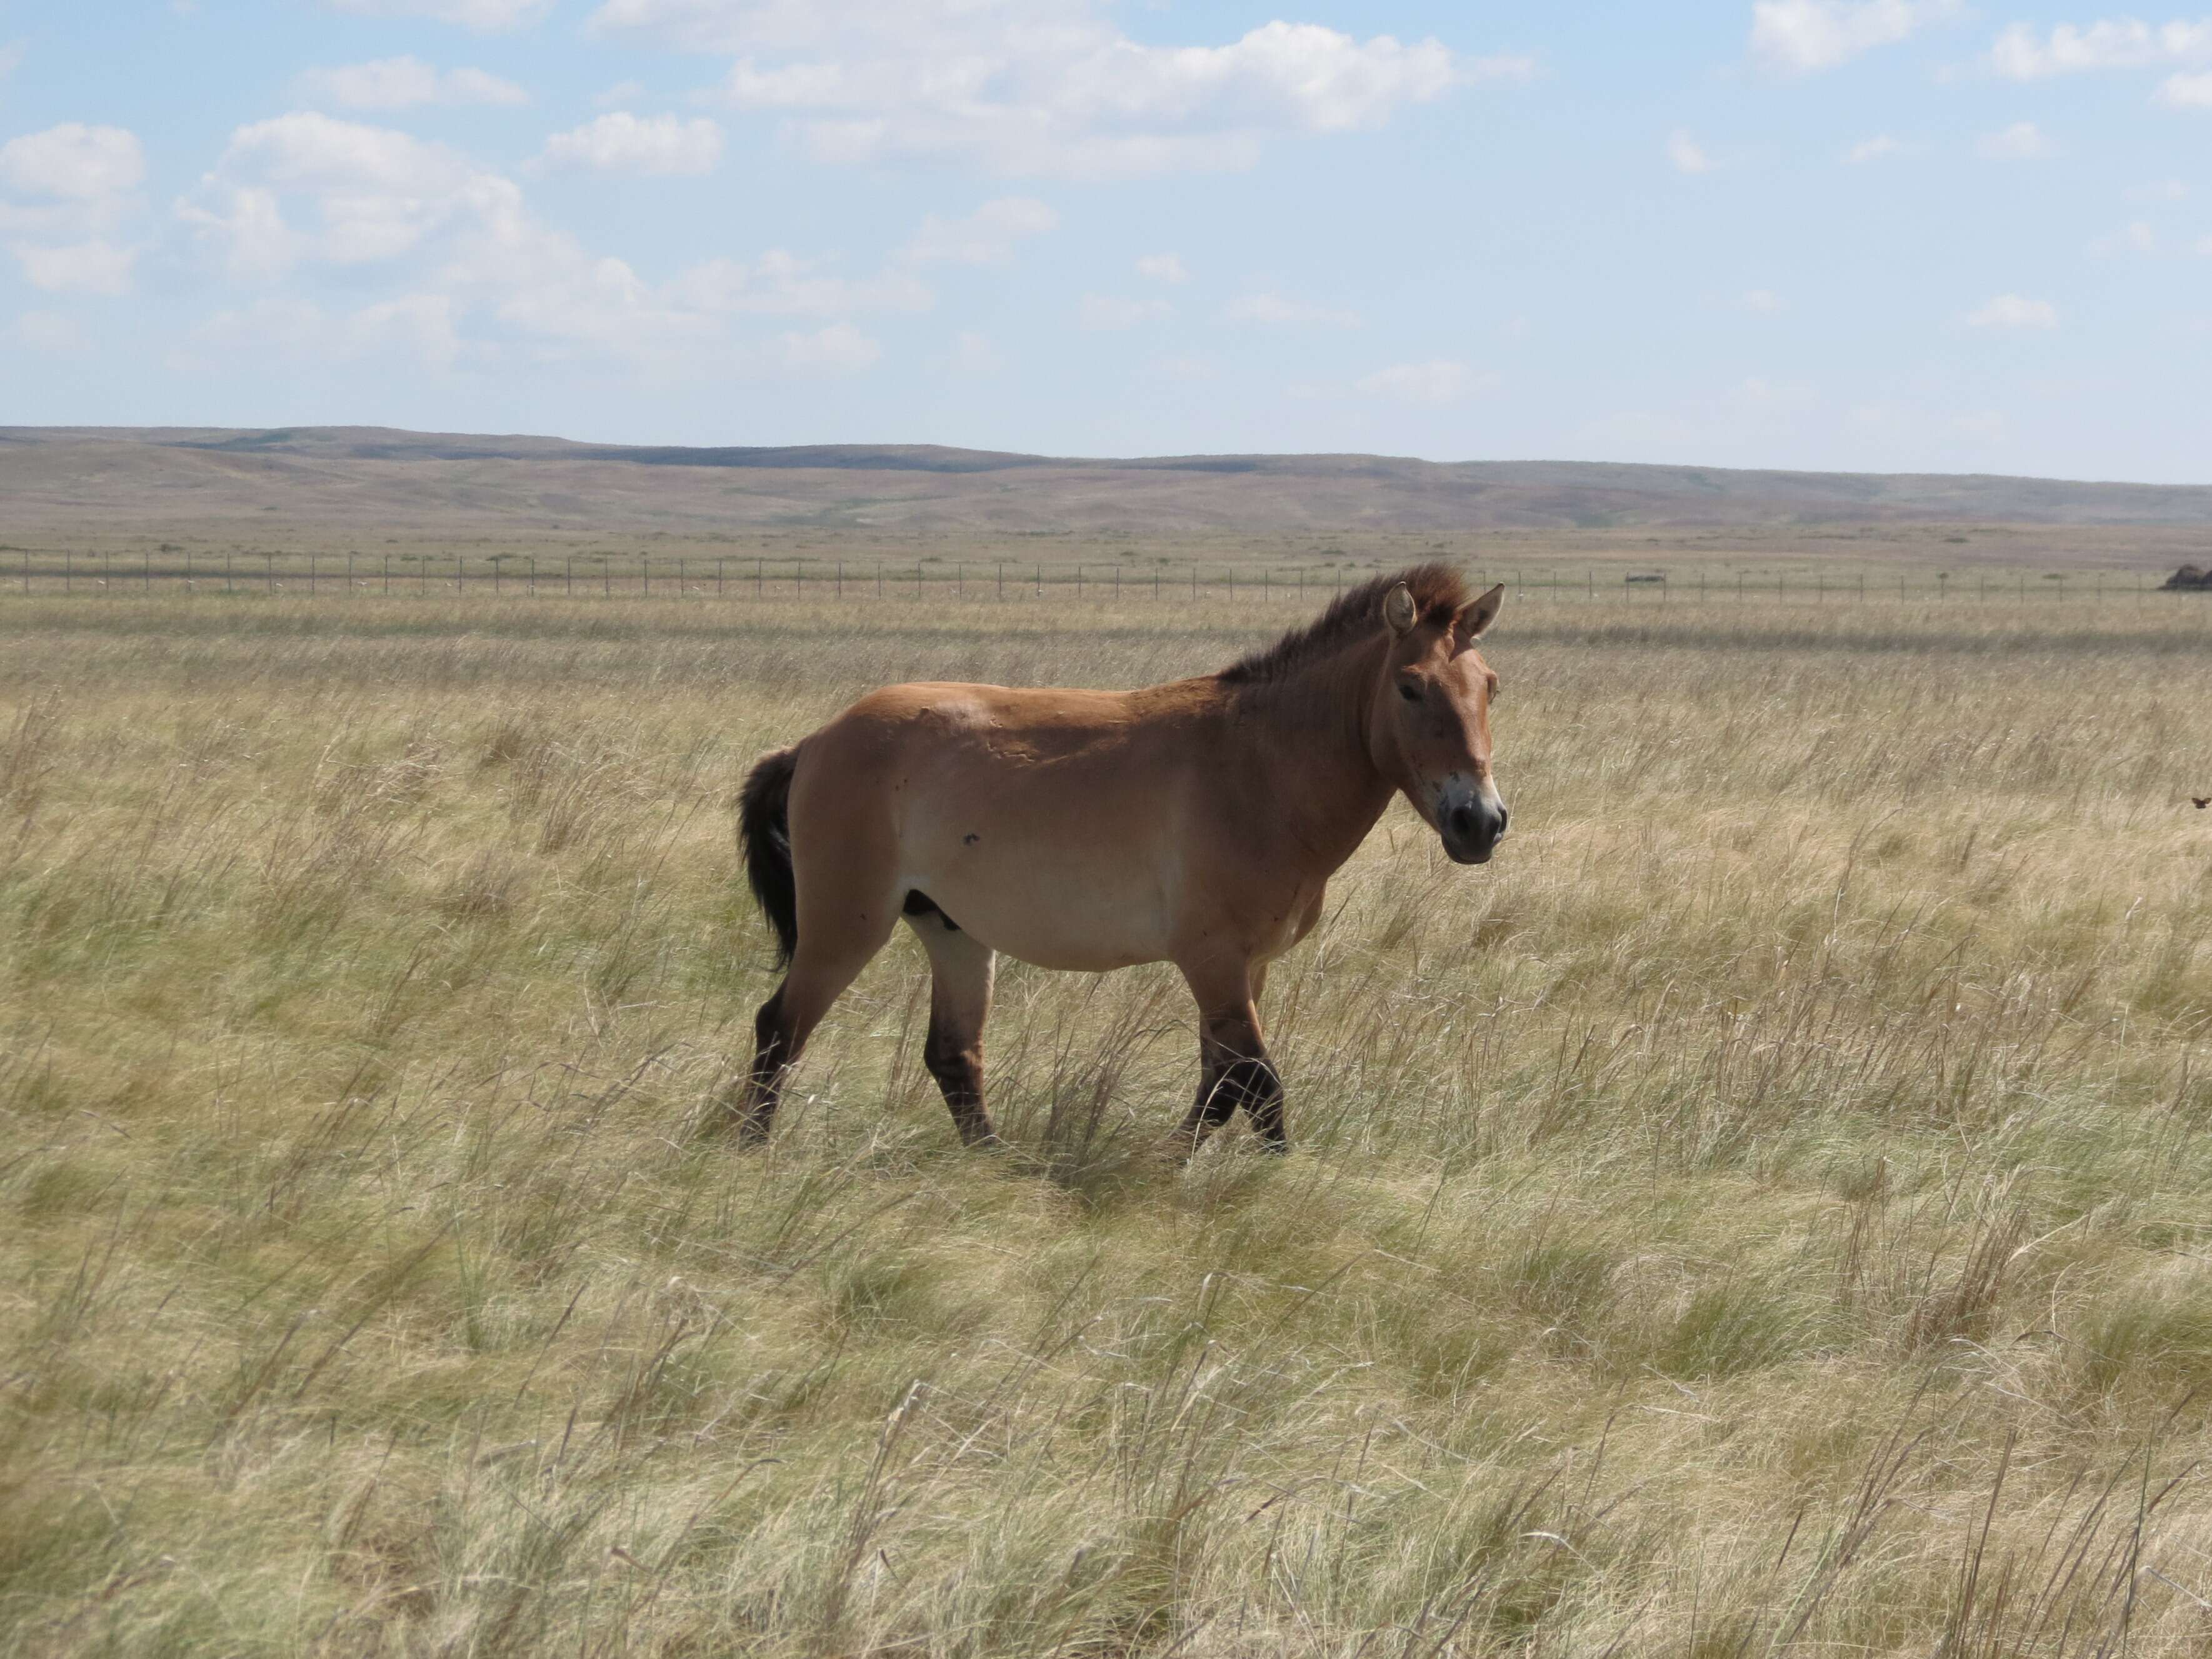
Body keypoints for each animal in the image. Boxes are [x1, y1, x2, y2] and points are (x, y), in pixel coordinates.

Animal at [725, 566, 1504, 1158]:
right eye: (1409, 686)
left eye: (1490, 685)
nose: (1480, 823)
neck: (1257, 770)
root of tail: (814, 741)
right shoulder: (1212, 961)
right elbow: (1258, 1086)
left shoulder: (1246, 968)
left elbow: (1222, 1085)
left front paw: (1172, 1165)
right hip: (844, 928)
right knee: (780, 1029)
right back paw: (750, 1149)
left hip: (952, 932)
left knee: (953, 1056)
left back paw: (995, 1165)